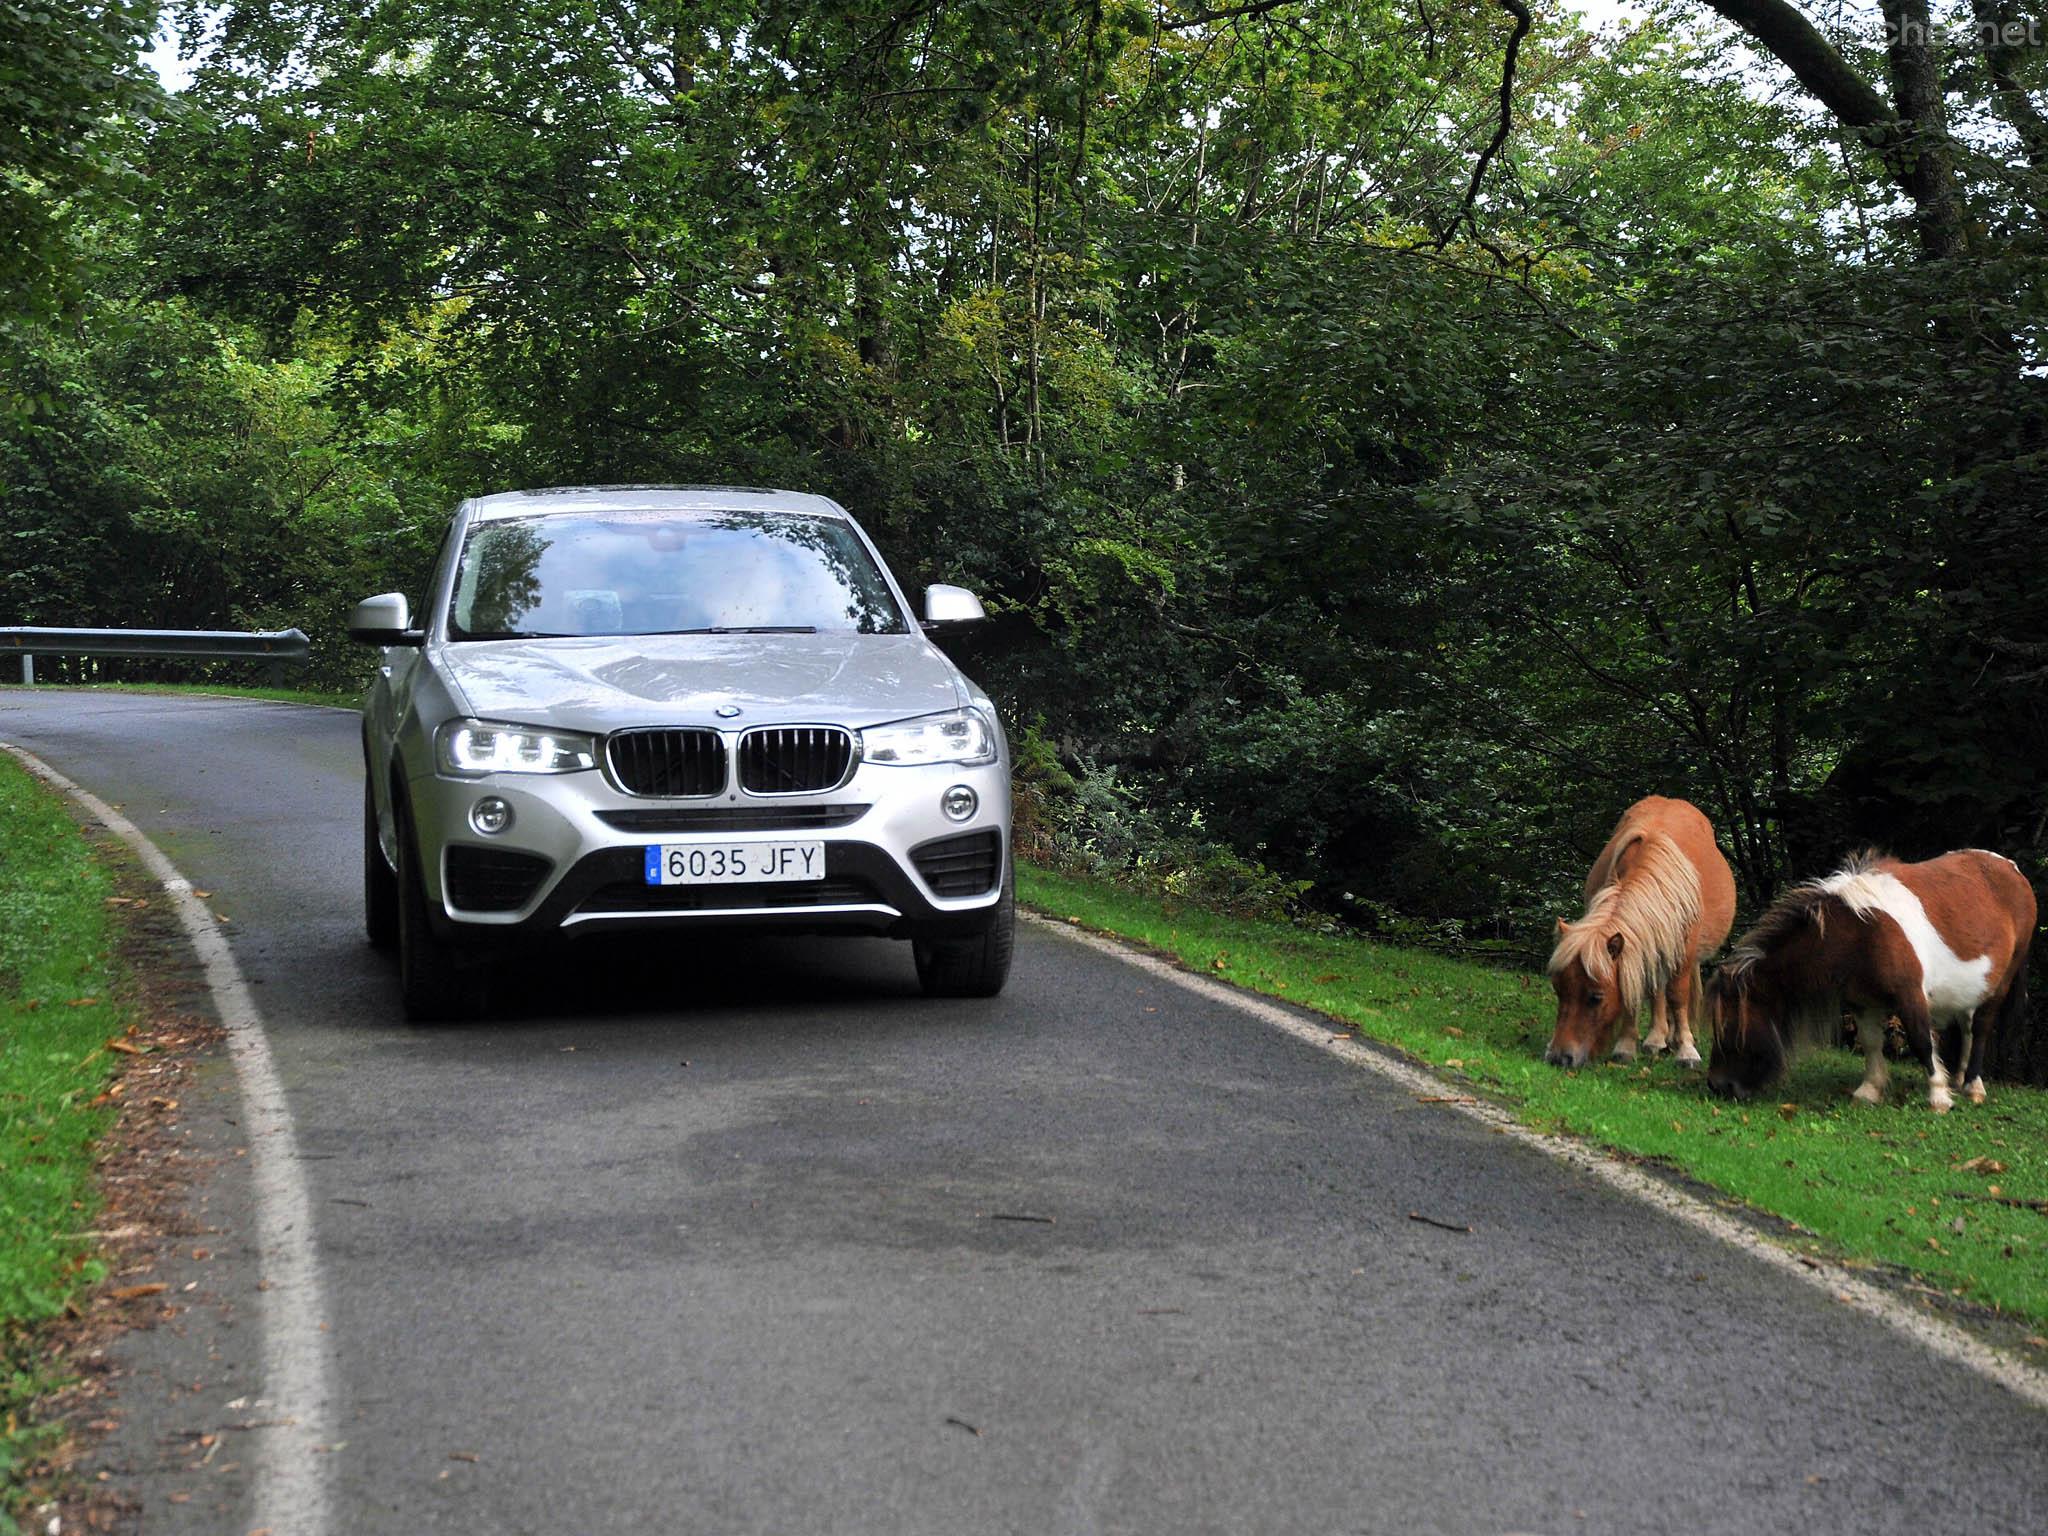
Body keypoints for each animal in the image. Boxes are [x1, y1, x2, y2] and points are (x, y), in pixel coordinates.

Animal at [1540, 806, 1736, 1073]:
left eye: (1595, 997)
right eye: (1559, 991)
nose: (1559, 1057)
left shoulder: (1683, 954)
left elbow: (1677, 996)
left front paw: (1686, 1050)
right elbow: (1634, 992)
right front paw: (1626, 1046)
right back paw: (1656, 1039)